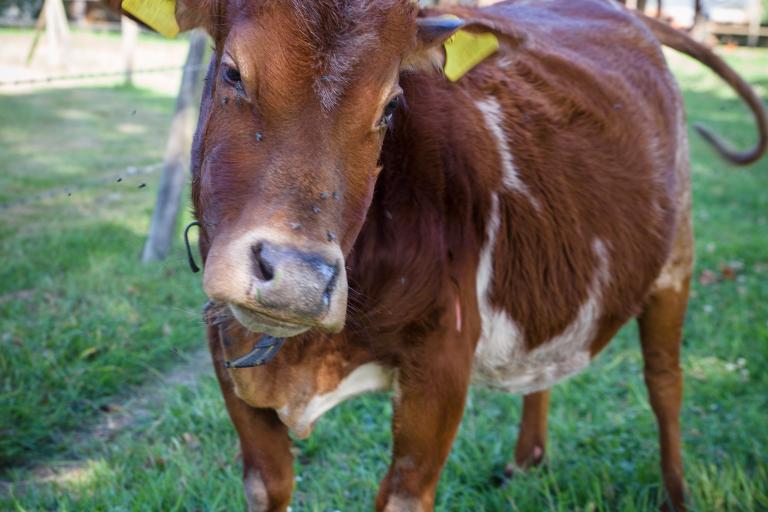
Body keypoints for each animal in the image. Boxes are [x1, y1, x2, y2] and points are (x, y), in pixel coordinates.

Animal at [141, 0, 764, 510]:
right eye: (231, 72)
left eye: (391, 106)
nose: (297, 279)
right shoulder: (229, 362)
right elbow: (270, 482)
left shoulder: (440, 369)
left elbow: (405, 491)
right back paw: (526, 460)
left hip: (675, 263)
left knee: (665, 382)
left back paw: (677, 493)